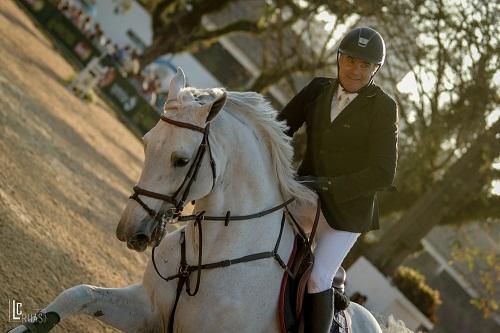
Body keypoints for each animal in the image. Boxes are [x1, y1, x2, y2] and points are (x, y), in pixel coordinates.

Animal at [7, 68, 380, 332]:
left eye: (181, 160)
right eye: (146, 143)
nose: (129, 231)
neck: (208, 256)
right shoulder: (146, 310)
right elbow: (79, 294)